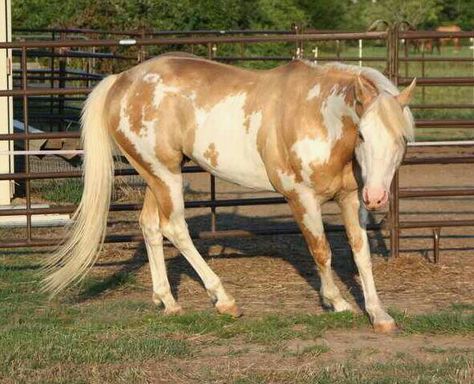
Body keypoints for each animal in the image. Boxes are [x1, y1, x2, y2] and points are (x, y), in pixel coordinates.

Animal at [43, 54, 414, 332]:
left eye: (401, 139)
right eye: (362, 134)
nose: (377, 197)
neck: (318, 116)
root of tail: (121, 80)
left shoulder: (351, 199)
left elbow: (360, 253)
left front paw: (379, 314)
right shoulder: (302, 198)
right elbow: (321, 251)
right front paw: (336, 302)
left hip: (155, 174)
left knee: (150, 226)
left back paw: (168, 301)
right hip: (165, 174)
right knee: (175, 228)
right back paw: (223, 299)